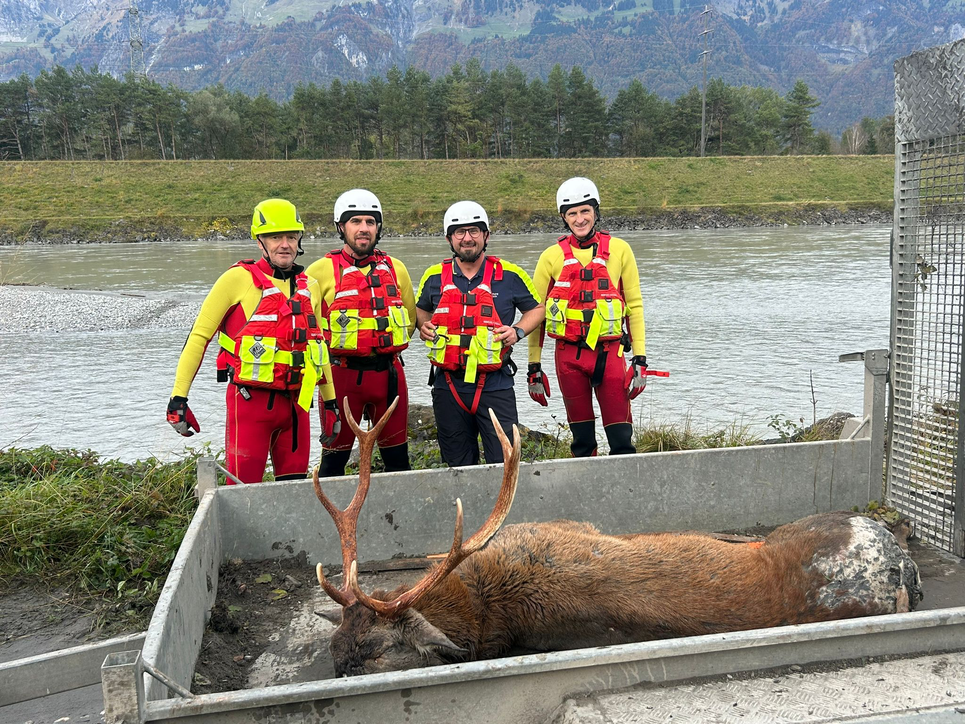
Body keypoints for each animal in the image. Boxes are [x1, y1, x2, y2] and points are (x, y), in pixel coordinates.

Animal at [312, 400, 923, 678]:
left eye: (372, 652)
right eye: (335, 647)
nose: (336, 666)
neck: (482, 597)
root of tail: (901, 569)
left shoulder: (572, 527)